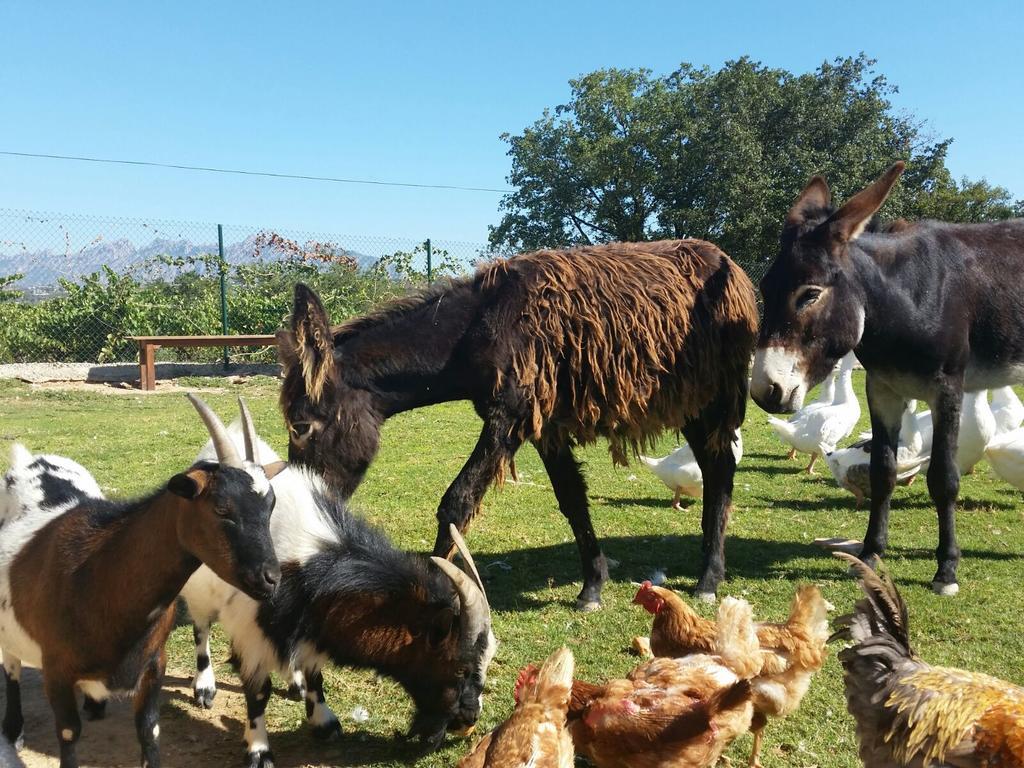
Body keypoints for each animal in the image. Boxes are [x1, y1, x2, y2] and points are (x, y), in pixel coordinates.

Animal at [0, 397, 284, 768]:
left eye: (271, 506)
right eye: (222, 508)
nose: (271, 578)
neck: (98, 577)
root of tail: (28, 461)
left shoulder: (154, 665)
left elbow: (149, 731)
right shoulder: (56, 669)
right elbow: (68, 734)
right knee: (11, 667)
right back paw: (13, 729)